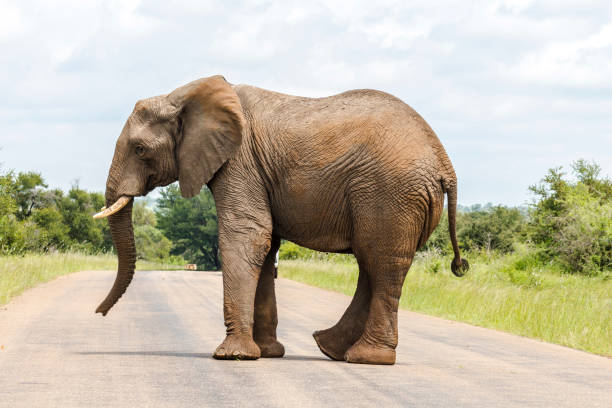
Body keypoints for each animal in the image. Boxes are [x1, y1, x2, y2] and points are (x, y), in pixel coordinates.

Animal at [94, 75, 468, 364]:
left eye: (140, 150)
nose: (99, 313)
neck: (184, 96)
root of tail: (444, 162)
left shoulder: (240, 160)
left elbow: (247, 236)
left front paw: (233, 356)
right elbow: (266, 244)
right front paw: (267, 353)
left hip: (390, 193)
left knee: (382, 264)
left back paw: (366, 358)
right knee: (372, 265)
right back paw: (331, 349)